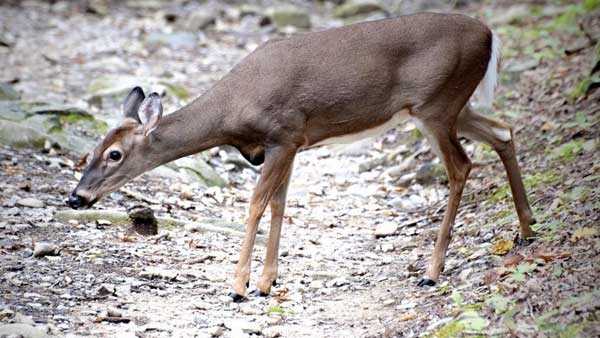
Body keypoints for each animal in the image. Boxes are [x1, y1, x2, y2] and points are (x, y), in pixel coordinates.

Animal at [69, 11, 536, 300]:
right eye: (90, 150)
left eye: (114, 154)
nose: (76, 197)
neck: (232, 111)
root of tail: (490, 35)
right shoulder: (294, 142)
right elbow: (280, 203)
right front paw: (266, 282)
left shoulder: (283, 133)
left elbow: (257, 203)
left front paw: (239, 286)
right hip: (454, 106)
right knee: (504, 131)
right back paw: (527, 230)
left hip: (436, 105)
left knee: (462, 165)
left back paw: (432, 271)